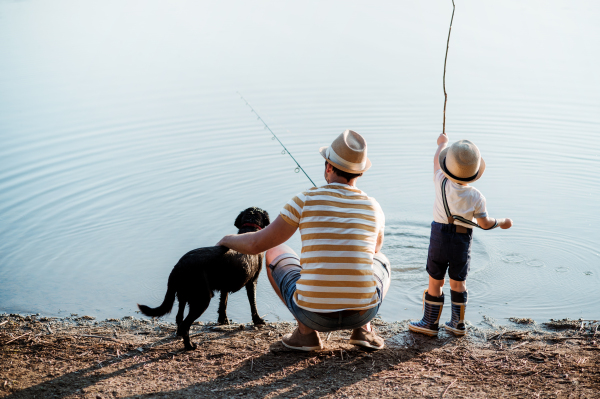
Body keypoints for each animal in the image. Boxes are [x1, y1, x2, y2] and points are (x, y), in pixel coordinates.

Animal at [137, 208, 270, 352]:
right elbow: (253, 303)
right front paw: (258, 320)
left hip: (183, 295)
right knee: (185, 324)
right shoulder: (252, 282)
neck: (249, 228)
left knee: (179, 318)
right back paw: (189, 346)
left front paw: (223, 321)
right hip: (202, 299)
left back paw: (181, 336)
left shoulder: (224, 286)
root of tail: (178, 266)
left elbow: (223, 304)